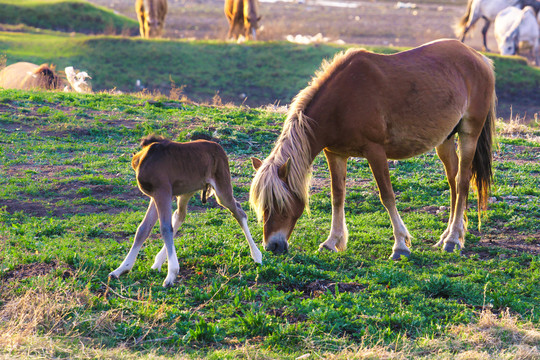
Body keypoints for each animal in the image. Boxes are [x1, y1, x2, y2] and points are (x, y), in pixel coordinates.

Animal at [109, 135, 262, 286]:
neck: (144, 158)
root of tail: (220, 148)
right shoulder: (155, 195)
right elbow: (143, 229)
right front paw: (121, 269)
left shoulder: (163, 191)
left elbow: (165, 228)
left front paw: (171, 274)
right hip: (186, 192)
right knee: (180, 215)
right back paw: (157, 262)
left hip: (221, 188)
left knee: (239, 212)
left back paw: (257, 255)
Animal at [249, 38, 494, 258]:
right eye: (263, 205)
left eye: (280, 203)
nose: (272, 246)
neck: (342, 101)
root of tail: (479, 58)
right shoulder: (335, 153)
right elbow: (337, 196)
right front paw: (332, 241)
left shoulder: (375, 152)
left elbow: (387, 195)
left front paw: (400, 245)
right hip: (445, 140)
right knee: (453, 181)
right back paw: (448, 235)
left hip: (469, 135)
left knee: (462, 182)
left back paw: (453, 239)